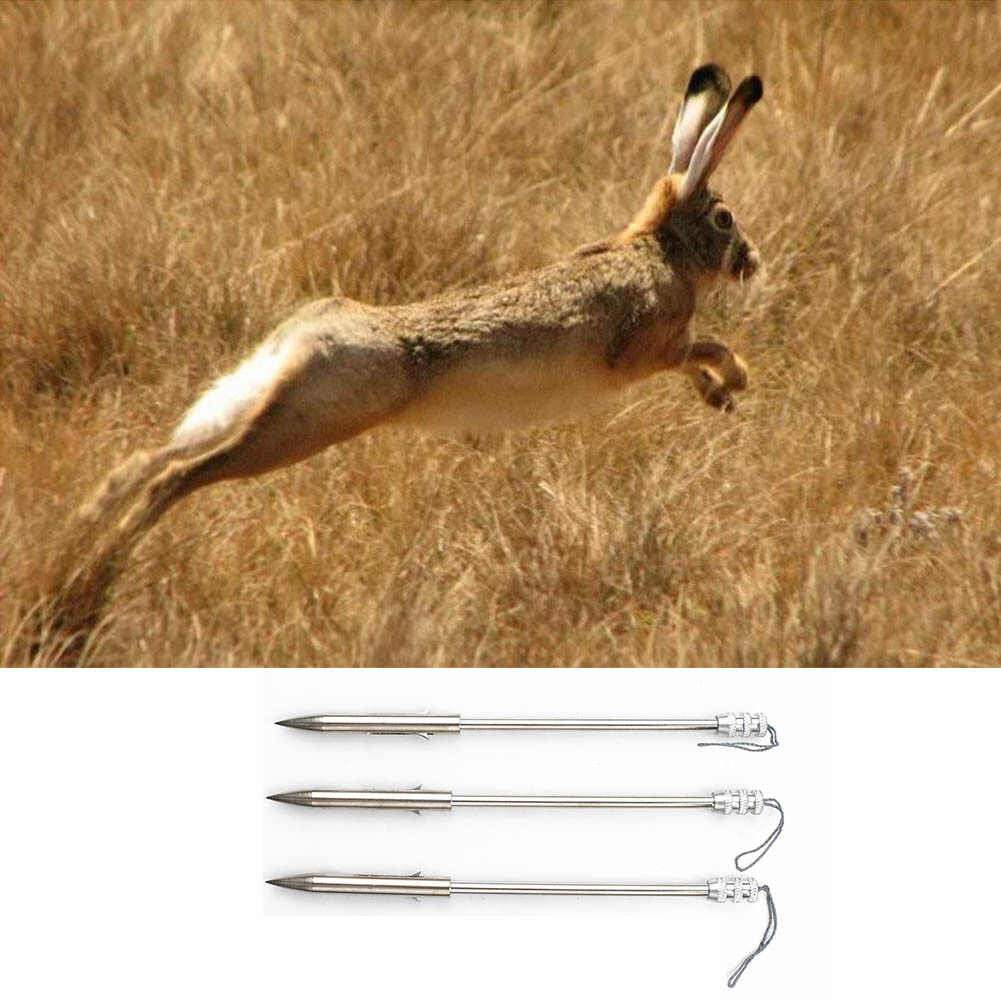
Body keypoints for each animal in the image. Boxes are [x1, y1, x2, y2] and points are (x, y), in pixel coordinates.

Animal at [38, 63, 763, 655]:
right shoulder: (645, 349)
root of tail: (305, 334)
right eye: (725, 219)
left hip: (256, 400)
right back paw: (93, 577)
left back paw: (77, 540)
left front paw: (721, 396)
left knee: (149, 458)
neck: (660, 249)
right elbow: (705, 347)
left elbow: (697, 361)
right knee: (178, 475)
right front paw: (736, 381)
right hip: (306, 421)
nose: (752, 261)